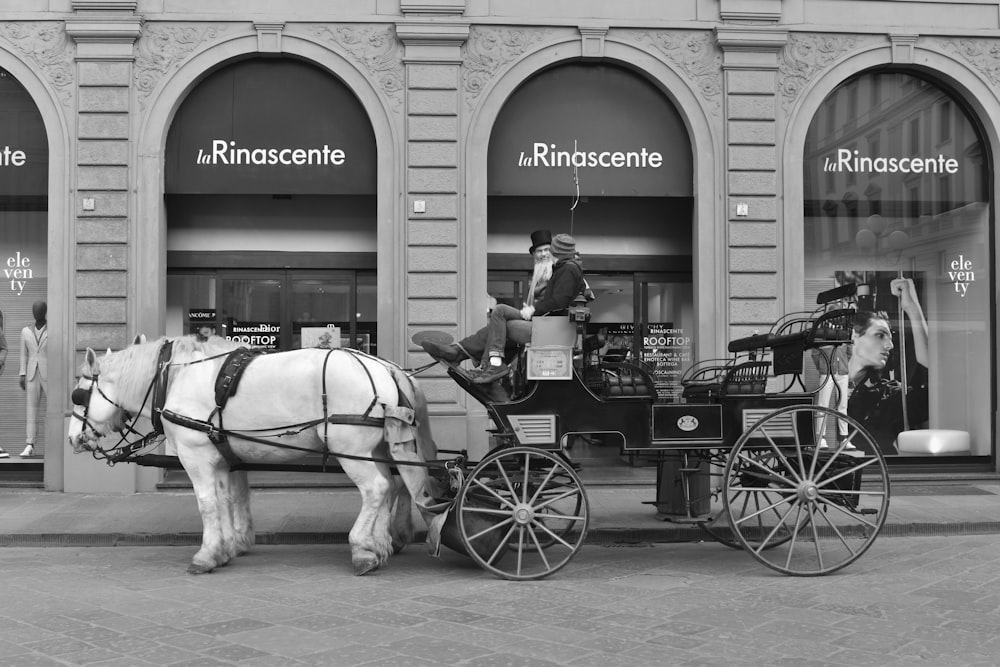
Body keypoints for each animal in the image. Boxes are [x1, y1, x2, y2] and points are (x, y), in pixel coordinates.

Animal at [68, 336, 444, 576]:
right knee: (391, 487)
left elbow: (207, 504)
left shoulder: (196, 457)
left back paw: (363, 547)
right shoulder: (223, 457)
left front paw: (207, 554)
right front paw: (228, 547)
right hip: (375, 449)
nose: (73, 438)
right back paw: (380, 544)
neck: (174, 380)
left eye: (78, 395)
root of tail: (385, 368)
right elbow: (228, 500)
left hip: (351, 451)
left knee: (377, 489)